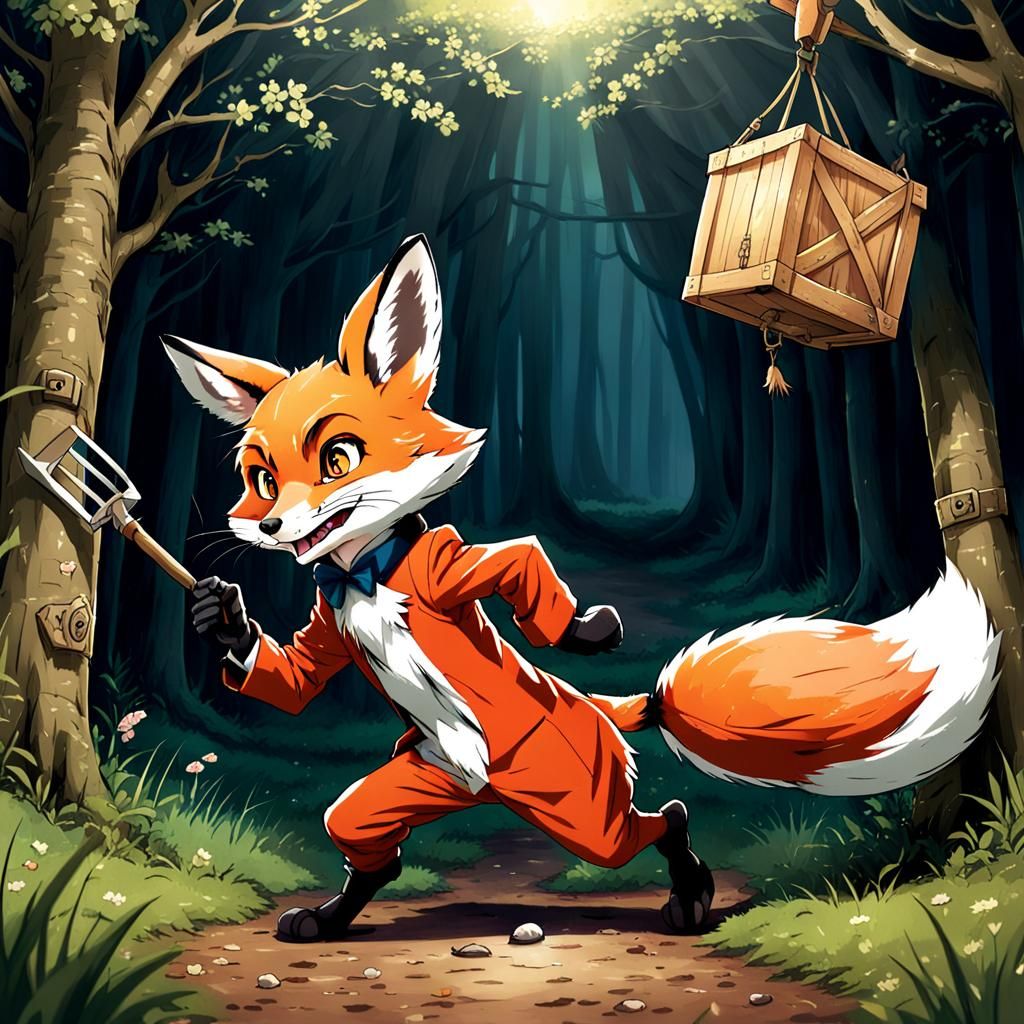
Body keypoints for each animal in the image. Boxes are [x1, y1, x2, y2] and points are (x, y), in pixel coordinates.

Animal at [165, 234, 1000, 943]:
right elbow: (296, 680)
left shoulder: (442, 568)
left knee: (656, 821)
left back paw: (691, 891)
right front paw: (222, 620)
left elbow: (521, 559)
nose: (274, 525)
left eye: (338, 458)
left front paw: (587, 631)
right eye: (260, 477)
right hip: (434, 772)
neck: (362, 573)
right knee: (364, 834)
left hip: (581, 807)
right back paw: (333, 917)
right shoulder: (329, 624)